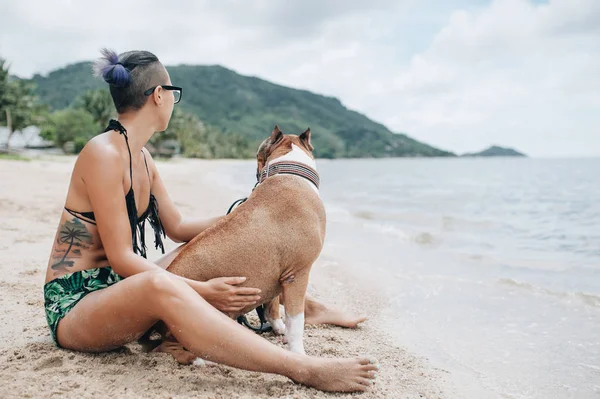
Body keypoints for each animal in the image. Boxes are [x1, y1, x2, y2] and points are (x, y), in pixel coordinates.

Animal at [152, 126, 326, 360]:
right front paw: (298, 353)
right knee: (169, 345)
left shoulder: (280, 274)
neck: (289, 171)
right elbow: (296, 321)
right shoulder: (297, 275)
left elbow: (272, 305)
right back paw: (198, 360)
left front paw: (279, 328)